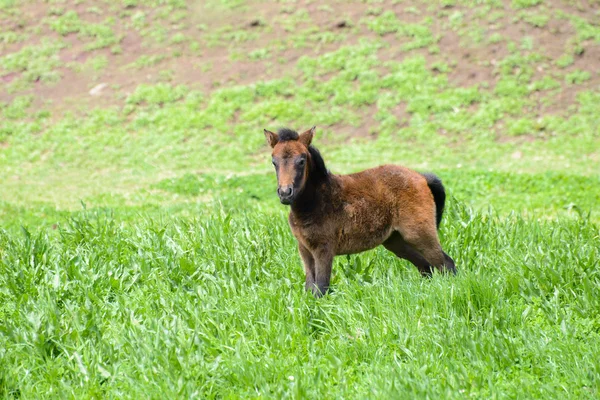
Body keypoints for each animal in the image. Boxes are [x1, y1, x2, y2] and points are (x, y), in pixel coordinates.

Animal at [262, 126, 454, 296]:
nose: (285, 193)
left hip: (419, 233)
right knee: (426, 267)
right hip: (396, 241)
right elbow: (310, 287)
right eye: (274, 161)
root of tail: (421, 177)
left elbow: (321, 288)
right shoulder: (304, 249)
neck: (315, 200)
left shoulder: (324, 249)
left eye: (301, 160)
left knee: (445, 264)